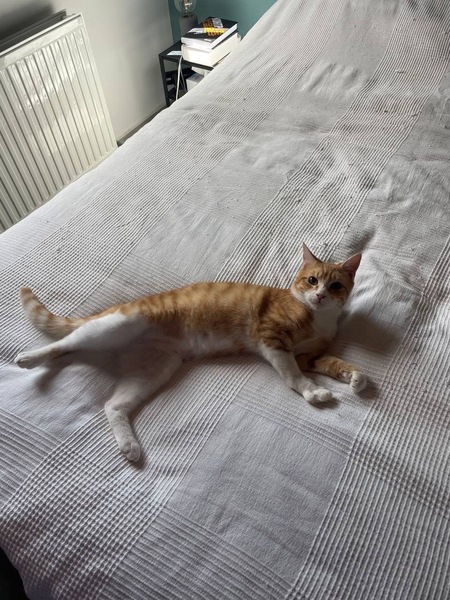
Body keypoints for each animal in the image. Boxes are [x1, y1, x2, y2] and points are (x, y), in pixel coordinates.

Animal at [15, 244, 366, 461]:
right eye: (312, 280)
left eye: (335, 286)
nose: (320, 295)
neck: (317, 317)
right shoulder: (272, 338)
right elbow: (293, 374)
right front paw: (312, 392)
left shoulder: (310, 355)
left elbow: (328, 362)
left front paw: (354, 378)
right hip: (115, 325)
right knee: (66, 342)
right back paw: (30, 358)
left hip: (155, 368)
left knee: (113, 405)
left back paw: (129, 445)